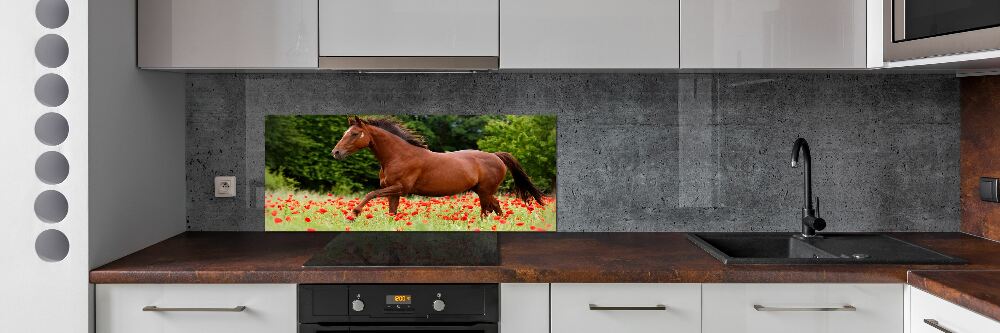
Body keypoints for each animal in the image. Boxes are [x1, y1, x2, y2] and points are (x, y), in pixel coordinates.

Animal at [332, 115, 544, 217]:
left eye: (354, 134)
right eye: (345, 132)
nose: (336, 153)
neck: (398, 156)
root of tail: (496, 156)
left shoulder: (400, 188)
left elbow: (371, 193)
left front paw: (354, 213)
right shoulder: (393, 191)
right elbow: (392, 212)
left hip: (485, 191)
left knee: (489, 209)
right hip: (482, 191)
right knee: (495, 208)